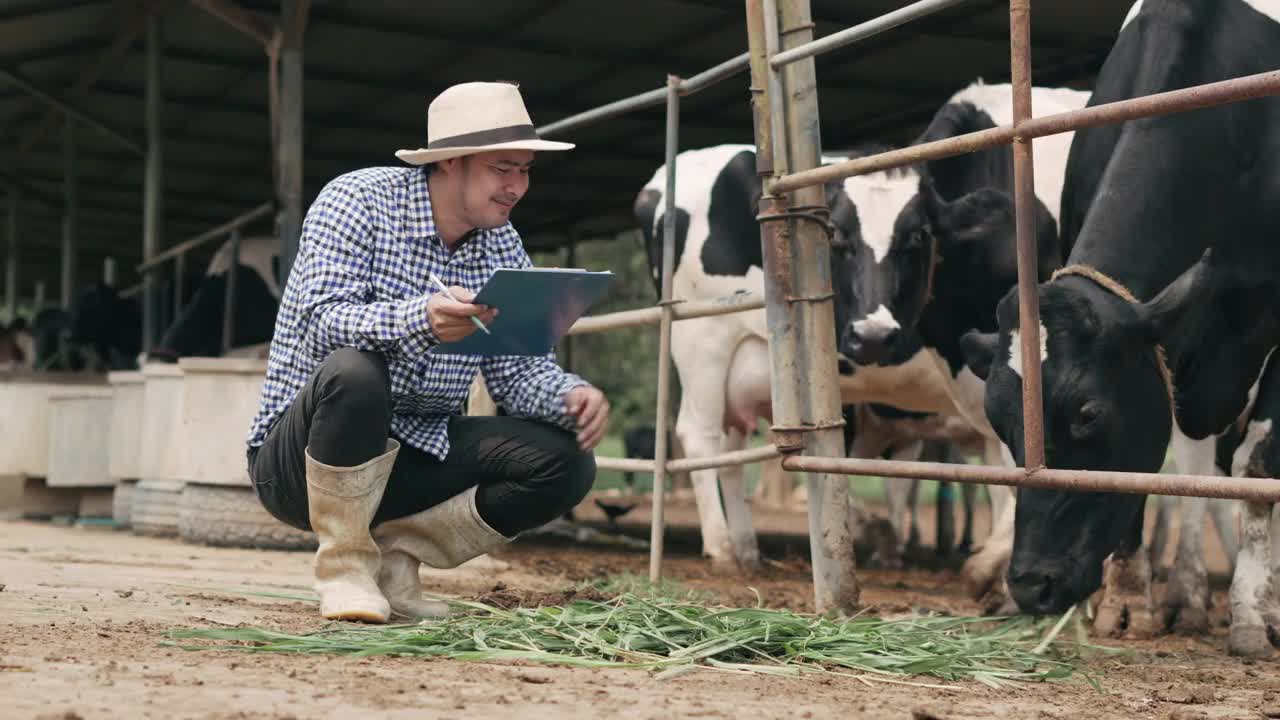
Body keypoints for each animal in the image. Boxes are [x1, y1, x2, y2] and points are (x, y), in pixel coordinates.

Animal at [962, 0, 1280, 645]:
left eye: (1087, 413)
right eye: (1002, 420)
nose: (1030, 585)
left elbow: (1255, 462)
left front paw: (1251, 612)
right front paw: (1130, 597)